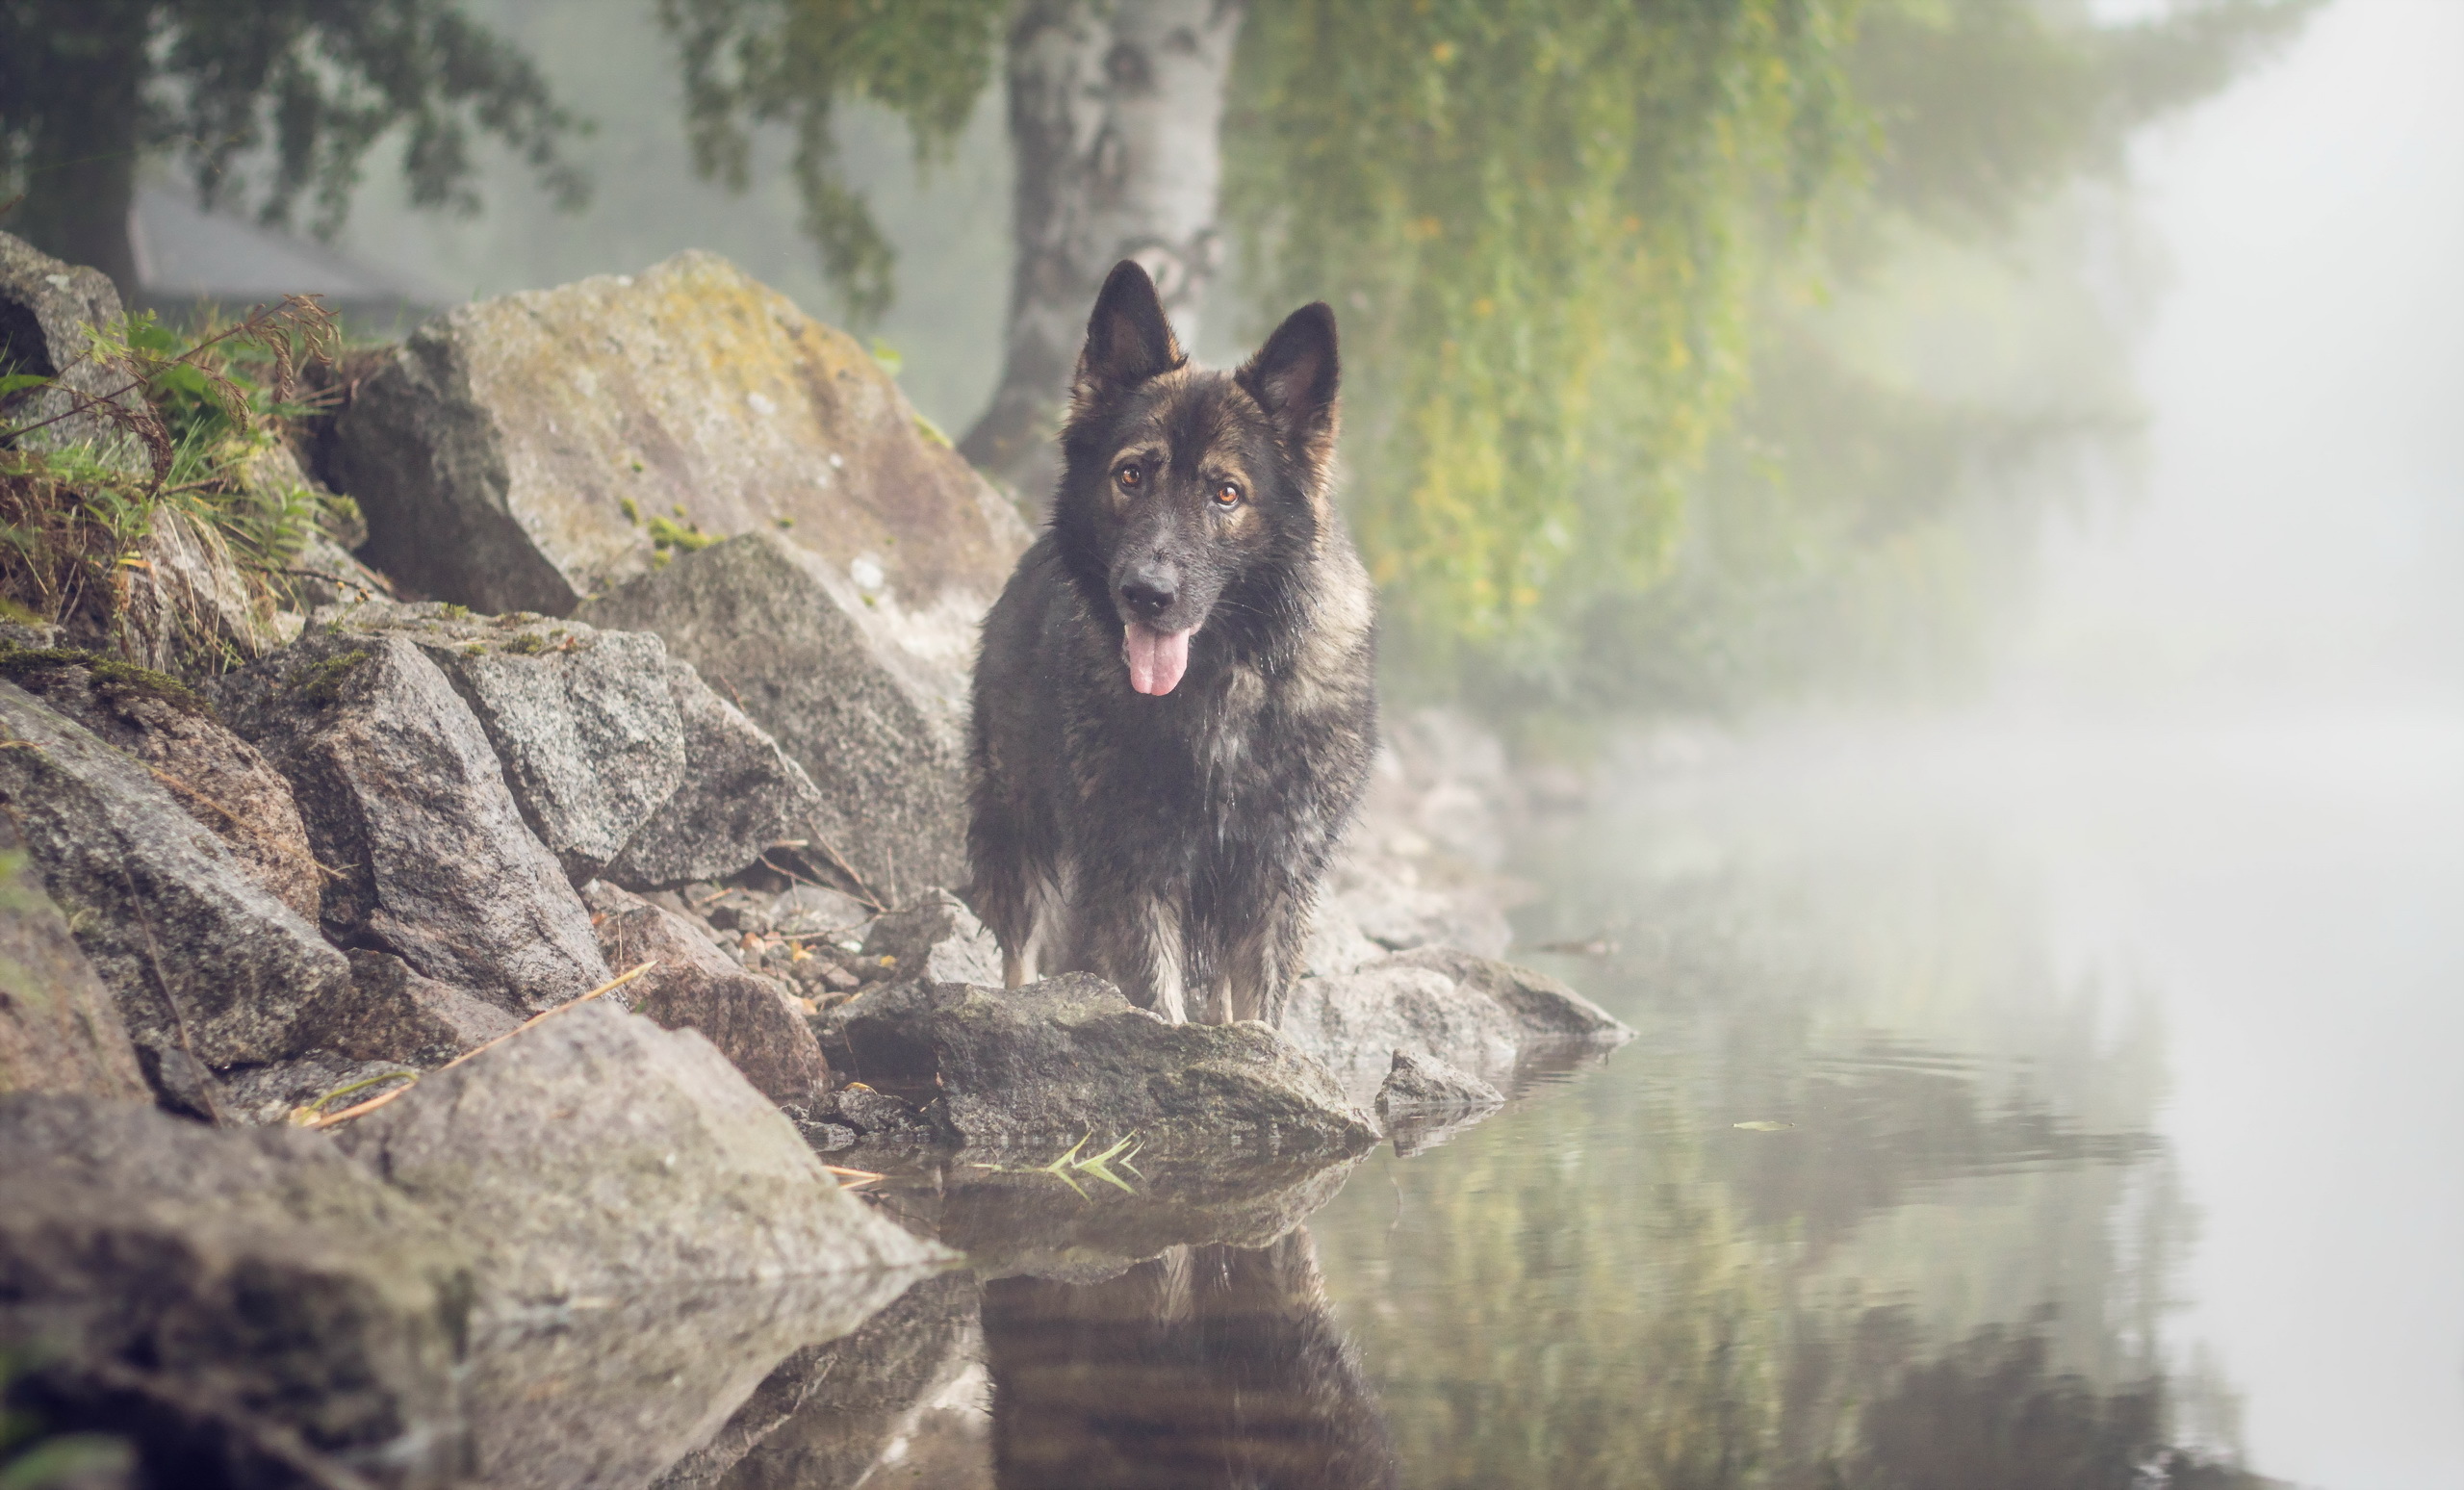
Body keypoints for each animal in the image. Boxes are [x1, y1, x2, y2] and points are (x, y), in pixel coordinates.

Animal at [965, 258, 1389, 1024]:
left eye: (1226, 494)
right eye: (1131, 475)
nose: (1147, 594)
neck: (1222, 682)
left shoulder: (1273, 878)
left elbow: (1257, 1015)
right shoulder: (1136, 868)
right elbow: (1158, 1001)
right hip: (1020, 830)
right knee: (1021, 949)